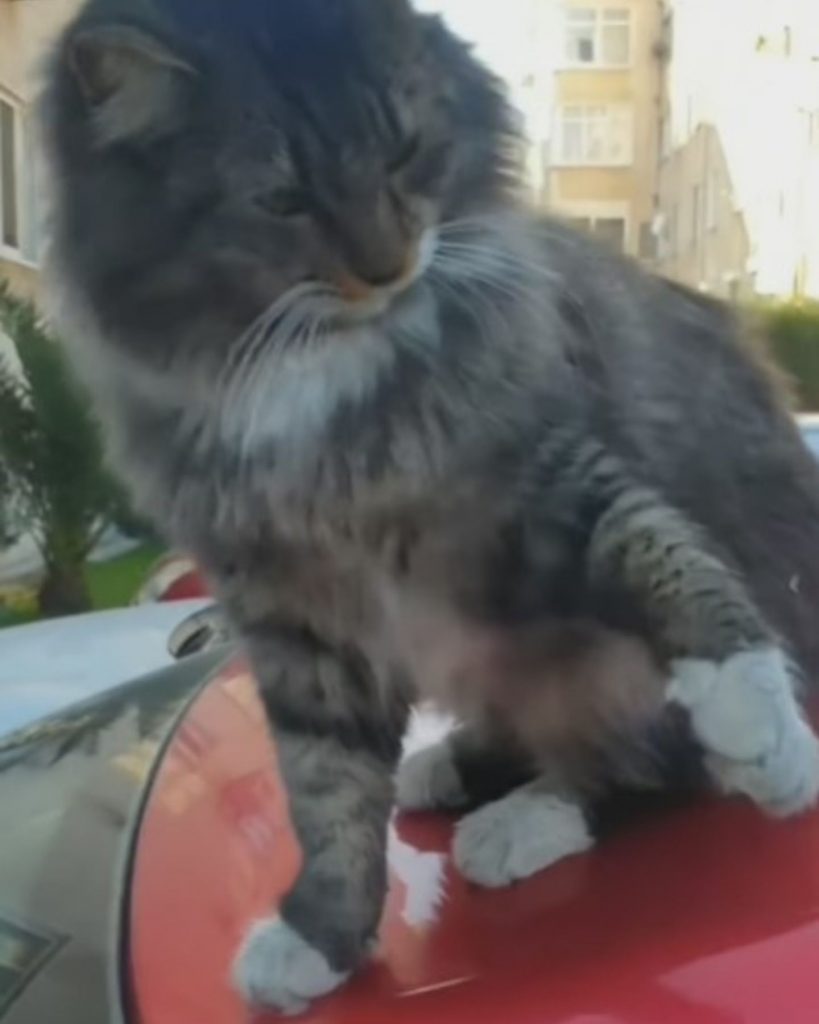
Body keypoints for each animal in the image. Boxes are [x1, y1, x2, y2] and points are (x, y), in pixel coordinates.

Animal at [41, 0, 818, 1011]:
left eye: (404, 153)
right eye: (283, 201)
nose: (389, 267)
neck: (316, 376)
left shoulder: (540, 484)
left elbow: (668, 563)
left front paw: (759, 720)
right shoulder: (296, 618)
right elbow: (326, 790)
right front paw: (323, 938)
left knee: (647, 768)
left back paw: (530, 816)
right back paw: (456, 769)